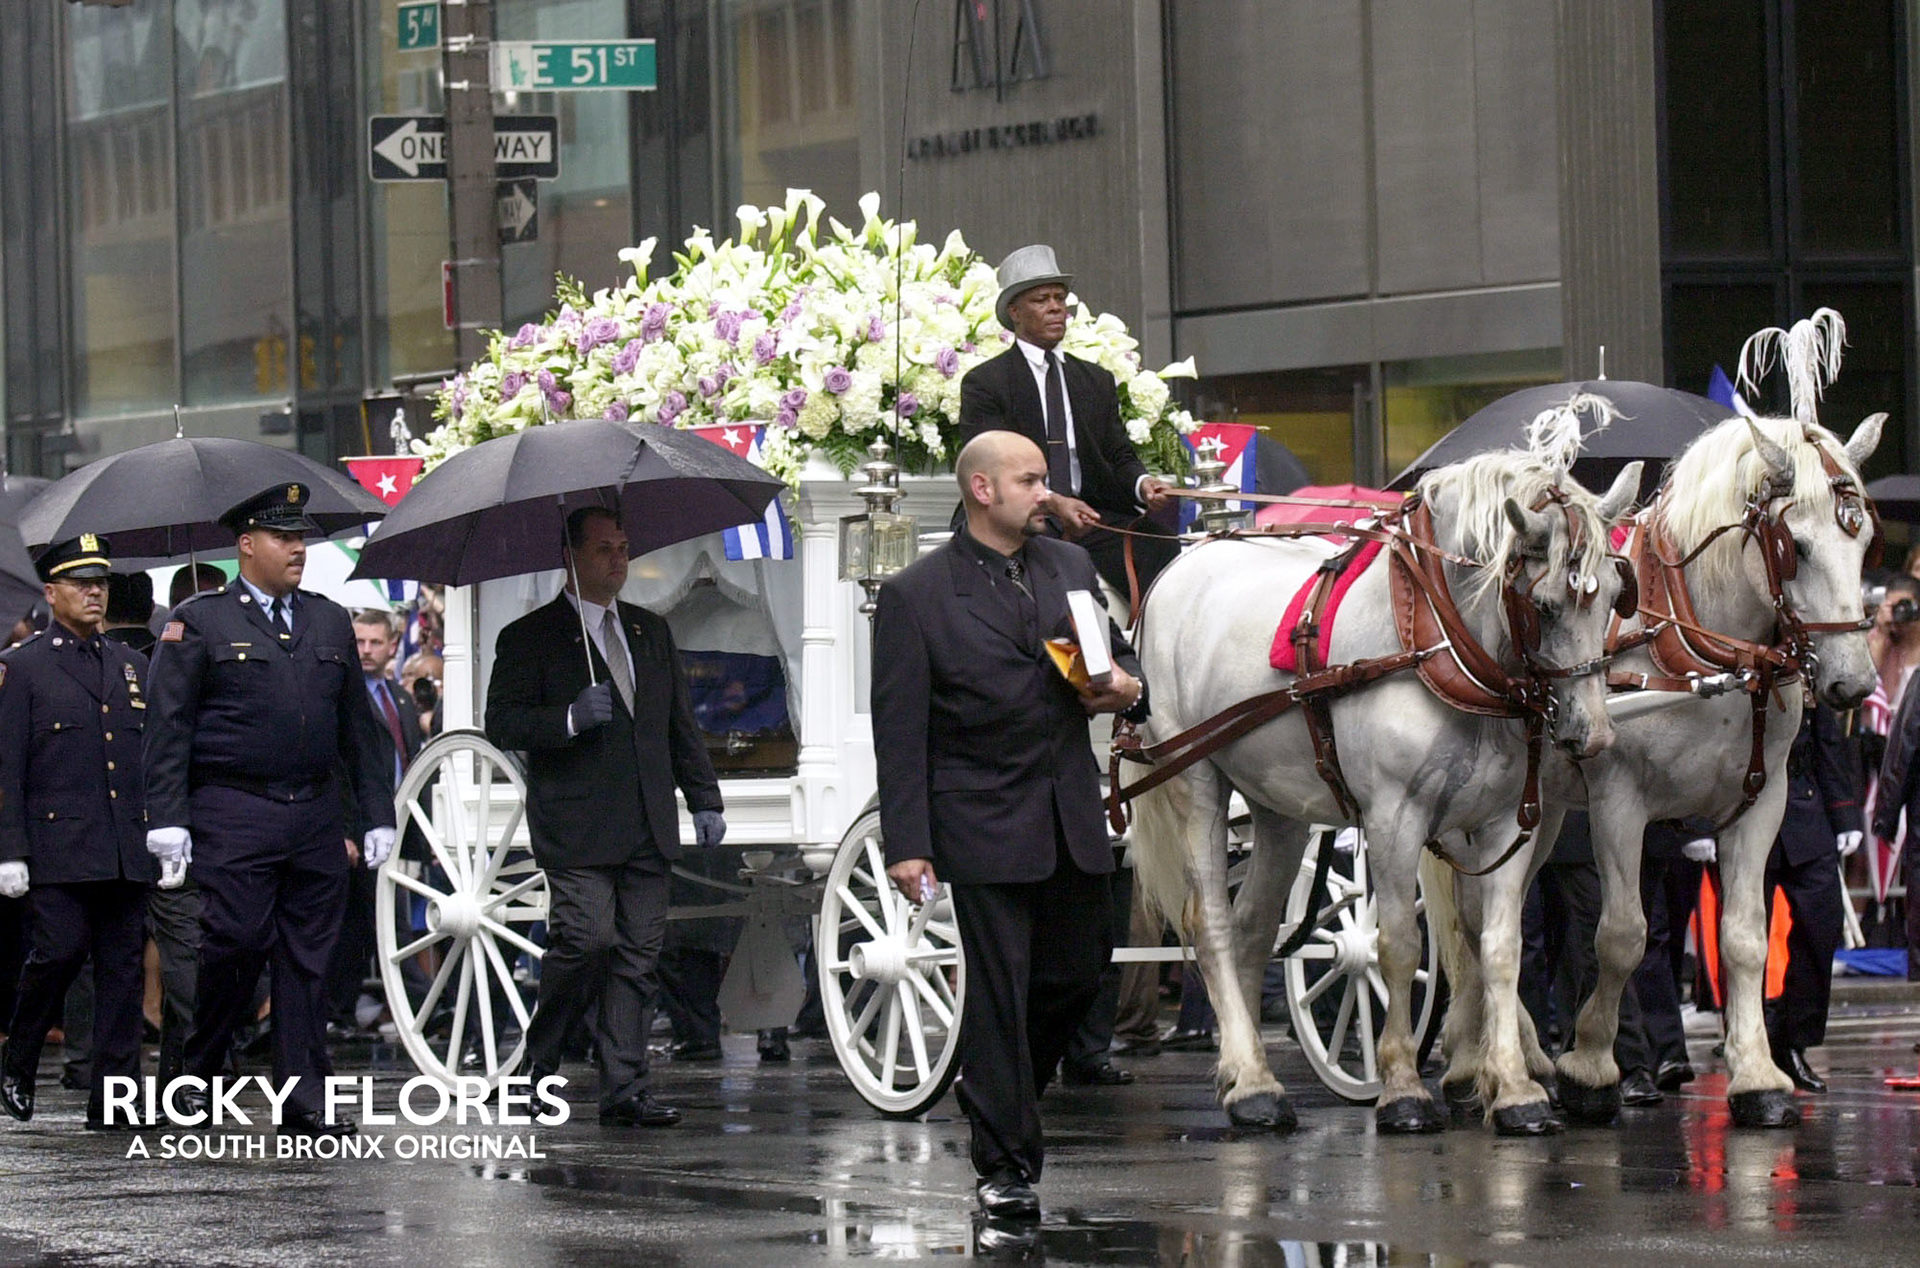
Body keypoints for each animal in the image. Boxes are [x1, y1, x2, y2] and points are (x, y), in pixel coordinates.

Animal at [1128, 405, 1643, 1129]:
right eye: (1543, 605)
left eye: (1616, 597)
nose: (1591, 733)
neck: (1441, 638)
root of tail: (1189, 558)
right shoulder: (1394, 818)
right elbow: (1398, 944)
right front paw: (1401, 1085)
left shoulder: (1501, 823)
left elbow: (1501, 947)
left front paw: (1516, 1088)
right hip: (1194, 780)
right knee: (1214, 924)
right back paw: (1253, 1080)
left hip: (1279, 807)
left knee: (1255, 925)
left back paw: (1246, 1071)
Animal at [1436, 311, 1881, 1137]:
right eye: (1796, 545)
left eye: (1863, 536)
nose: (1855, 683)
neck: (1702, 642)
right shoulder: (1620, 801)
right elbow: (1622, 936)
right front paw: (1591, 1067)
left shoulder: (1763, 800)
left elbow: (1744, 938)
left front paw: (1759, 1077)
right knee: (1476, 918)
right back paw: (1480, 1062)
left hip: (1539, 813)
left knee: (1488, 915)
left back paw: (1512, 1058)